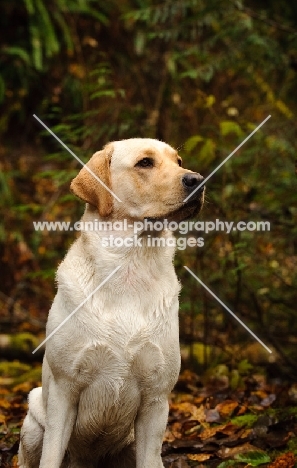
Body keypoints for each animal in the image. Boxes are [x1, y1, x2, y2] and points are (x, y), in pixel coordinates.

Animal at [18, 137, 204, 466]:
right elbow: (51, 456)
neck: (129, 266)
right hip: (33, 419)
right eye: (145, 162)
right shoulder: (65, 391)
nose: (198, 180)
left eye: (179, 161)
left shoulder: (156, 399)